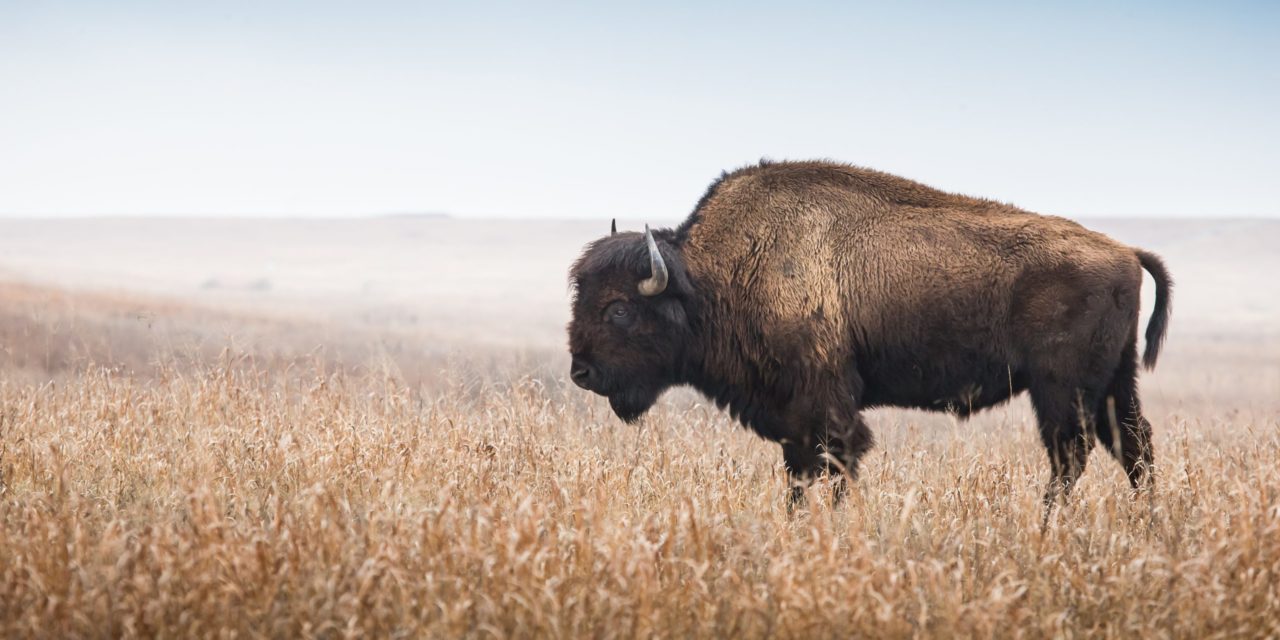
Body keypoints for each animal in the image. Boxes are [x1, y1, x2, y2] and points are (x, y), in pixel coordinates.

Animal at [568, 160, 1171, 507]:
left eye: (619, 309)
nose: (581, 372)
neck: (711, 277)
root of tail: (1125, 251)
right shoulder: (793, 419)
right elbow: (799, 476)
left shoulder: (826, 407)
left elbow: (835, 464)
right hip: (1114, 384)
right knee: (1134, 447)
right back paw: (1146, 523)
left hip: (1061, 389)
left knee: (1072, 455)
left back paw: (1048, 525)